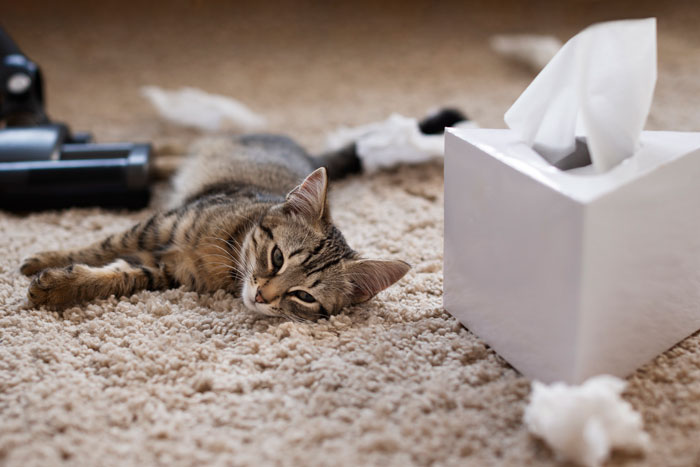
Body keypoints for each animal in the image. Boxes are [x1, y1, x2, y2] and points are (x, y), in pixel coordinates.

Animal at [21, 110, 468, 322]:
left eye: (304, 296)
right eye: (277, 258)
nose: (262, 296)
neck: (225, 253)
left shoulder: (163, 270)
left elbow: (118, 275)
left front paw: (60, 286)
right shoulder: (157, 225)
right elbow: (99, 246)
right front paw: (45, 260)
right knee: (171, 149)